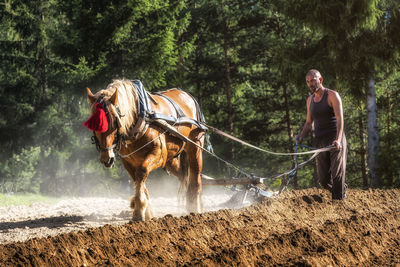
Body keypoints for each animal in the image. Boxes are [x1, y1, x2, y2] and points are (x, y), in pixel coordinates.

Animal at [83, 79, 206, 222]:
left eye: (114, 120)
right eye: (93, 124)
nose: (106, 158)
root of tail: (187, 95)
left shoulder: (159, 155)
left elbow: (141, 172)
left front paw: (138, 210)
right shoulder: (129, 161)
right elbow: (137, 180)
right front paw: (147, 212)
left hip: (195, 148)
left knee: (195, 178)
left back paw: (195, 210)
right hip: (172, 159)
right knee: (183, 176)